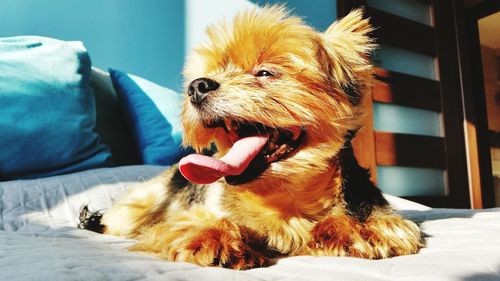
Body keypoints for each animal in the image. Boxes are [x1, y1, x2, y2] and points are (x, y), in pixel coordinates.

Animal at [80, 5, 424, 268]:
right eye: (207, 74)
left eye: (265, 73)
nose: (197, 86)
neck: (286, 198)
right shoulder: (182, 219)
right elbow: (195, 223)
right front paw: (213, 236)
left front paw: (351, 228)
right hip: (139, 205)